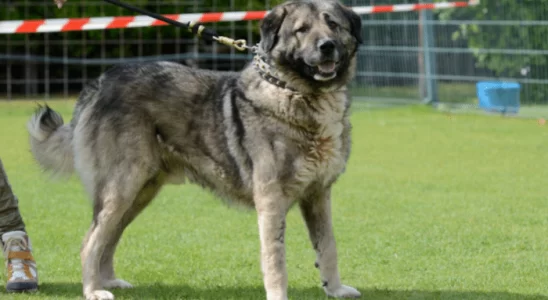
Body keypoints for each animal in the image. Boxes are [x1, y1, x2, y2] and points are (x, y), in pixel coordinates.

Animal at [28, 1, 364, 298]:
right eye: (301, 29)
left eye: (333, 24)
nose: (326, 46)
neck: (296, 92)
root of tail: (99, 83)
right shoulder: (271, 202)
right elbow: (275, 261)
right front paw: (279, 295)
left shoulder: (318, 195)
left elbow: (328, 246)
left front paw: (335, 290)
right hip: (121, 188)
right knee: (90, 242)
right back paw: (92, 290)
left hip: (138, 193)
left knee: (108, 238)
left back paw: (108, 281)